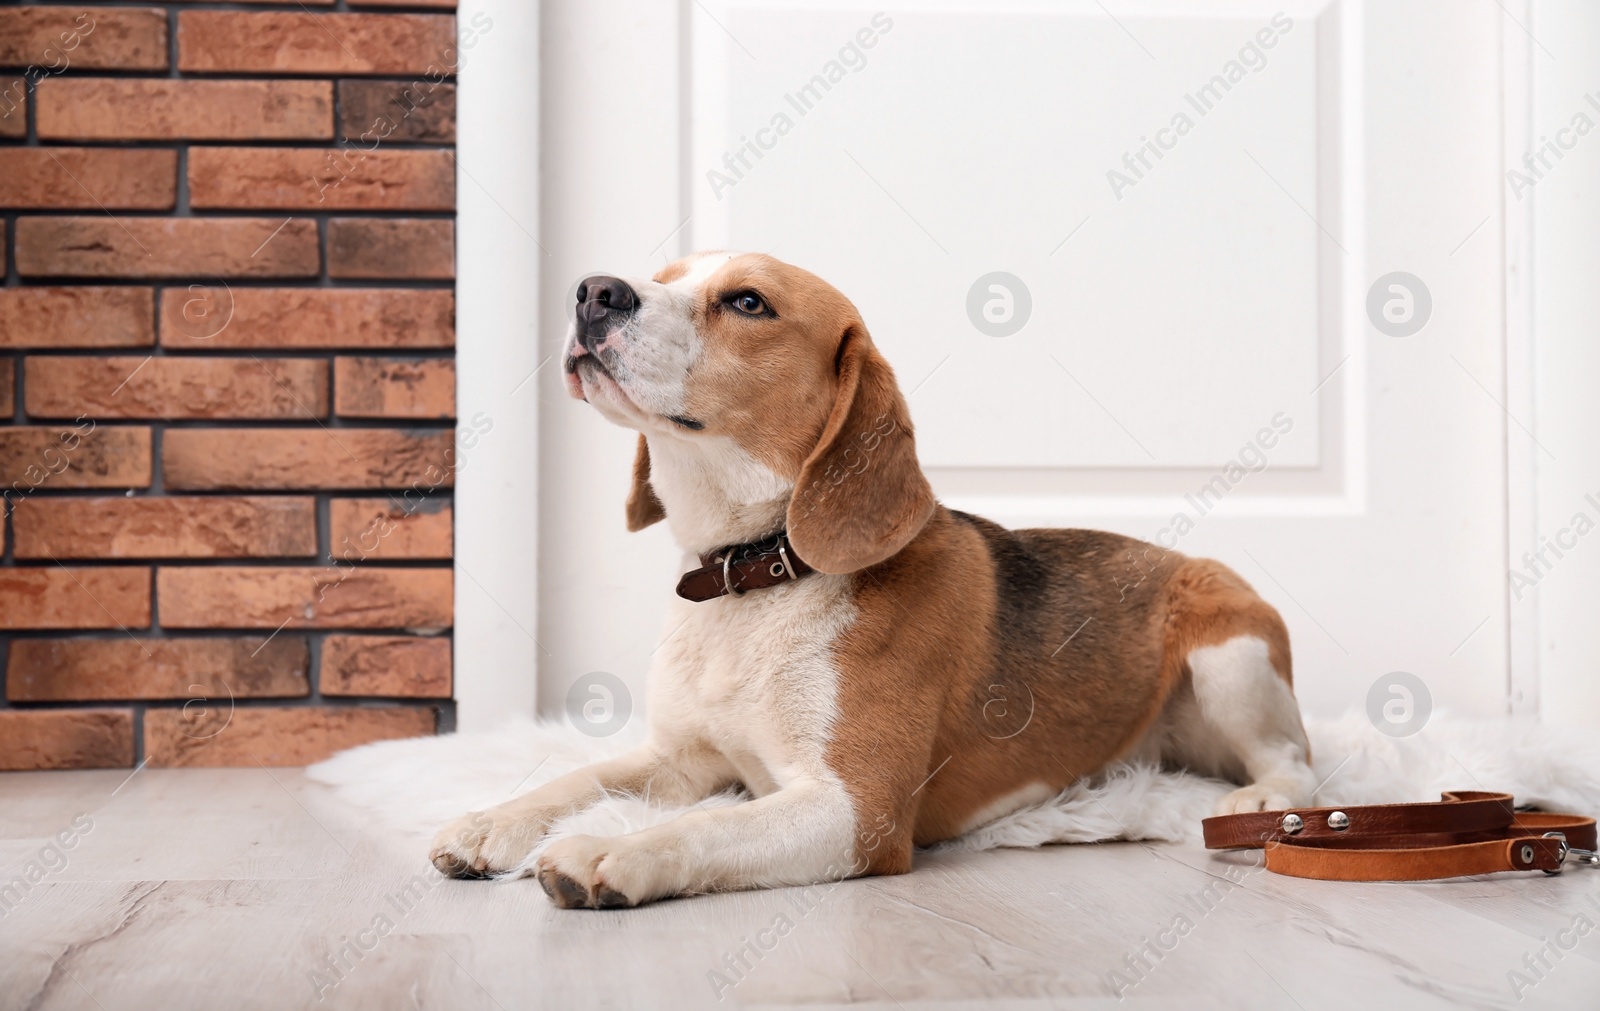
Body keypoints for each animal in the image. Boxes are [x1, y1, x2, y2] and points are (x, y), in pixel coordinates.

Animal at [428, 251, 1312, 908]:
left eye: (747, 301)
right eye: (663, 272)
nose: (593, 292)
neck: (756, 577)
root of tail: (1183, 560)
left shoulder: (858, 809)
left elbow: (704, 829)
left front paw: (611, 849)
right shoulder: (682, 760)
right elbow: (579, 774)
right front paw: (490, 823)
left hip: (1232, 658)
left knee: (1297, 765)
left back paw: (1260, 803)